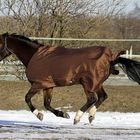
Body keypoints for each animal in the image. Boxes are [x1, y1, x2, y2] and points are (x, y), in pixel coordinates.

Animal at [0, 33, 140, 124]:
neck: (34, 55)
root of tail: (110, 57)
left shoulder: (38, 84)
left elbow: (27, 98)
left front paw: (39, 115)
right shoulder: (48, 85)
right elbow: (47, 104)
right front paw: (63, 114)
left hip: (87, 83)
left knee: (92, 98)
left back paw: (77, 118)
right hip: (96, 83)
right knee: (102, 96)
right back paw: (90, 116)